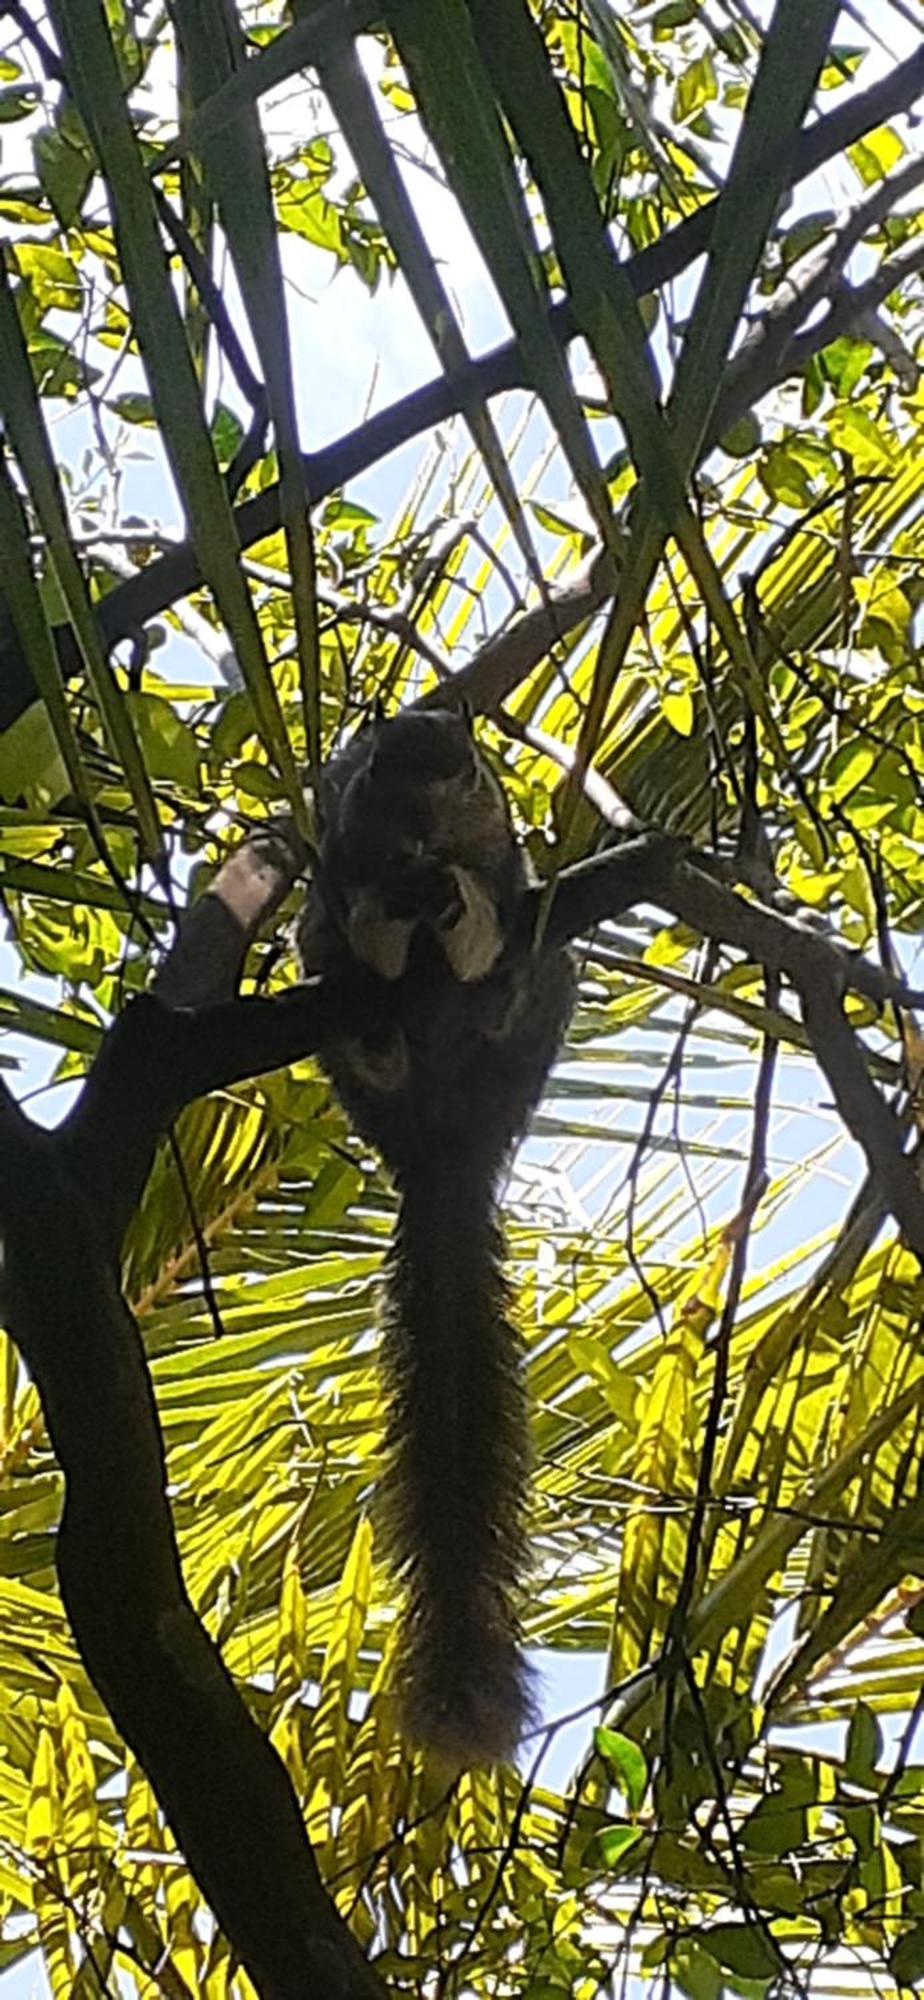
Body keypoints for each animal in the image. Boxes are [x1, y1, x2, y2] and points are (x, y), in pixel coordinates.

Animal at [296, 708, 572, 1768]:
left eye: (465, 773)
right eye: (380, 767)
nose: (418, 827)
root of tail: (447, 1157)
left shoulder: (502, 860)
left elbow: (493, 895)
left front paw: (454, 898)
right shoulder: (338, 861)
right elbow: (357, 911)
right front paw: (393, 903)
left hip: (546, 1003)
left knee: (528, 980)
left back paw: (496, 1004)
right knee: (338, 978)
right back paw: (377, 1041)